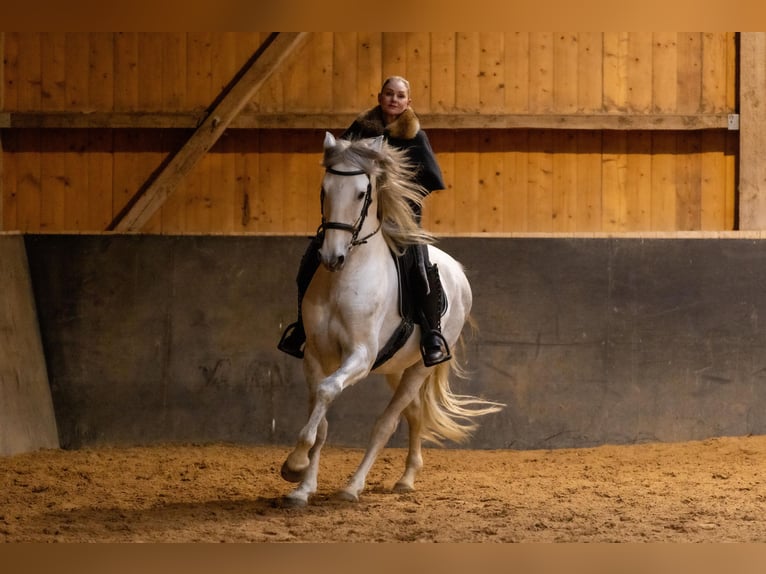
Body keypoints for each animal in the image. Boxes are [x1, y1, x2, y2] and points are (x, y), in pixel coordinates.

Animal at [282, 132, 504, 508]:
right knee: (413, 412)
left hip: (419, 367)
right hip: (396, 367)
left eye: (362, 193)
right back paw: (406, 478)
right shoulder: (315, 354)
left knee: (387, 422)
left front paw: (294, 465)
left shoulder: (360, 356)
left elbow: (329, 392)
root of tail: (457, 273)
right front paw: (301, 486)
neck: (344, 279)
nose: (332, 257)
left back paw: (353, 487)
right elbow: (321, 419)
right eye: (324, 189)